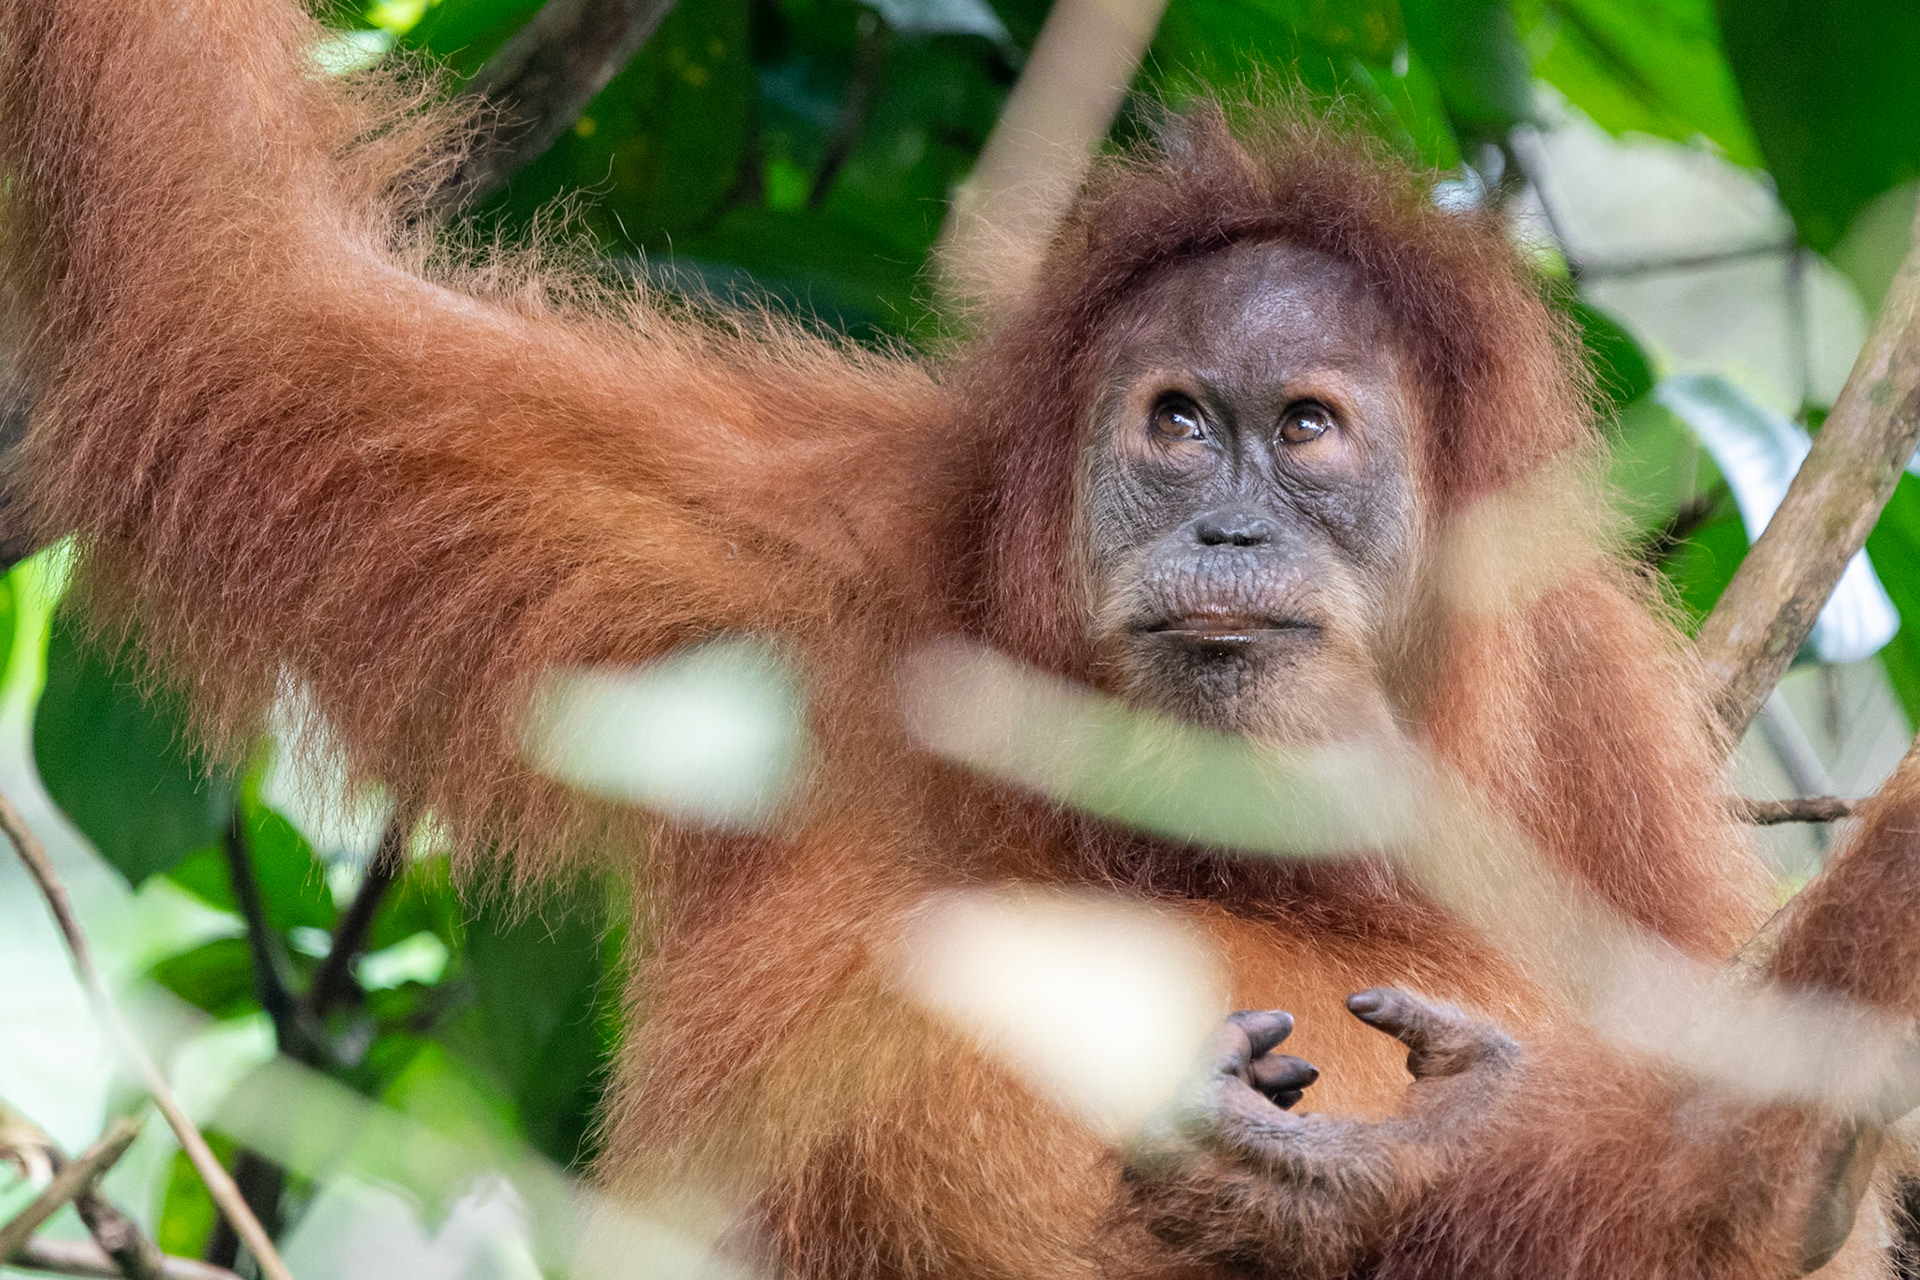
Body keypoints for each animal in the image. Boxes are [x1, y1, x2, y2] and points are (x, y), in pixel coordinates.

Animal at [1, 1, 1916, 1277]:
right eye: (1176, 424)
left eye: (1305, 430)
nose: (1231, 529)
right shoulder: (770, 555)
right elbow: (247, 279)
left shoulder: (1601, 743)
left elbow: (1763, 1220)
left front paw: (1422, 1169)